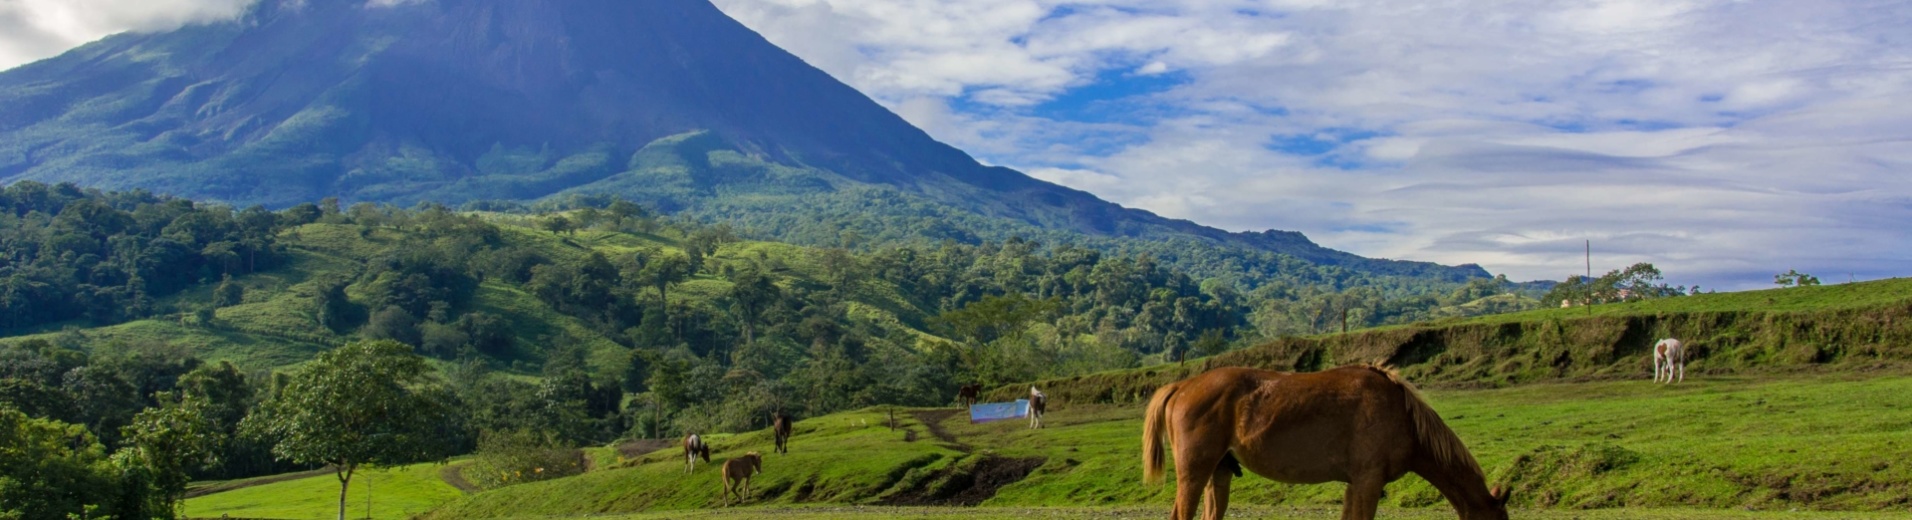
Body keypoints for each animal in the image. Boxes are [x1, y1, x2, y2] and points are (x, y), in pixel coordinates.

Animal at [1139, 365, 1514, 520]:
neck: (1401, 414)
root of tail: (1182, 386)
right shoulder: (1368, 483)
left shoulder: (1356, 485)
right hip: (1195, 472)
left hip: (1219, 472)